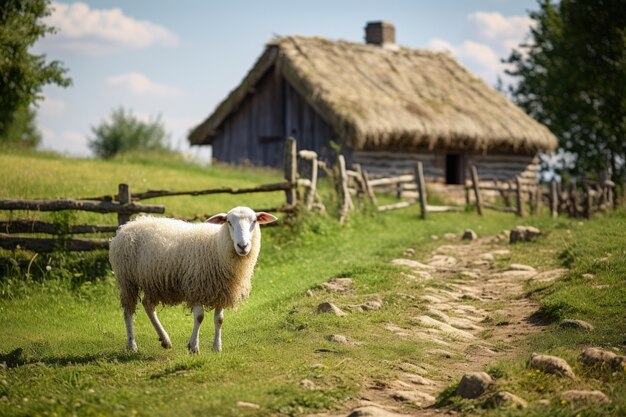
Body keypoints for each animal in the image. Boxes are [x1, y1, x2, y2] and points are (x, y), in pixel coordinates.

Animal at [108, 206, 276, 352]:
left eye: (254, 221)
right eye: (229, 222)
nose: (243, 245)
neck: (216, 246)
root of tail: (127, 226)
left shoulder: (222, 290)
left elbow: (219, 319)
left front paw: (217, 347)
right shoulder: (195, 285)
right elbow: (200, 317)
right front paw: (193, 346)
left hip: (152, 282)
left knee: (148, 306)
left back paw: (165, 340)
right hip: (127, 280)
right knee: (128, 312)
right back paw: (132, 345)